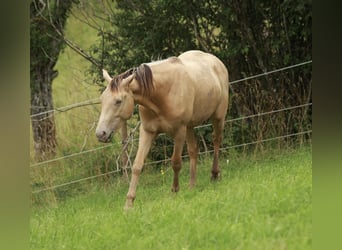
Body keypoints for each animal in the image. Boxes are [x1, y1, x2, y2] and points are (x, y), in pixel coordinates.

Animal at [96, 49, 228, 208]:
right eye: (102, 99)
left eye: (118, 101)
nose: (100, 134)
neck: (162, 93)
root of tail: (216, 61)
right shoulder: (148, 131)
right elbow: (137, 166)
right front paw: (129, 203)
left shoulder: (179, 131)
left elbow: (176, 162)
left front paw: (175, 191)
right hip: (190, 126)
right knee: (193, 150)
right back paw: (192, 185)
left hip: (218, 117)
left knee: (216, 140)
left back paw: (214, 174)